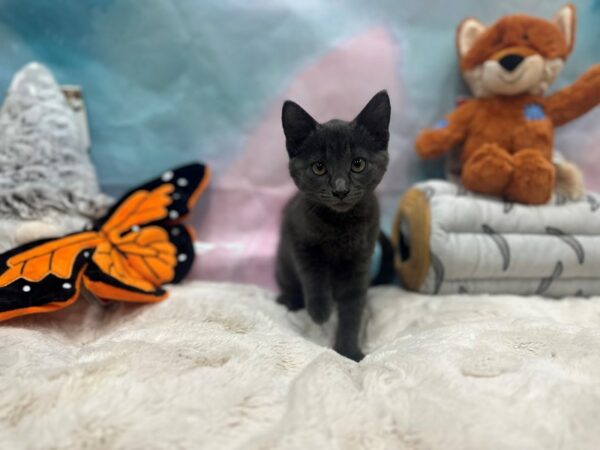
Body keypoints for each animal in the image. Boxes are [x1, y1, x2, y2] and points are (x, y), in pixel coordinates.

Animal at [276, 90, 392, 362]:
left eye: (358, 164)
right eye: (319, 167)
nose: (340, 189)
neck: (341, 225)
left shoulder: (360, 260)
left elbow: (352, 307)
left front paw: (349, 352)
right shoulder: (299, 237)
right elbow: (314, 274)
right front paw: (320, 311)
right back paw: (290, 299)